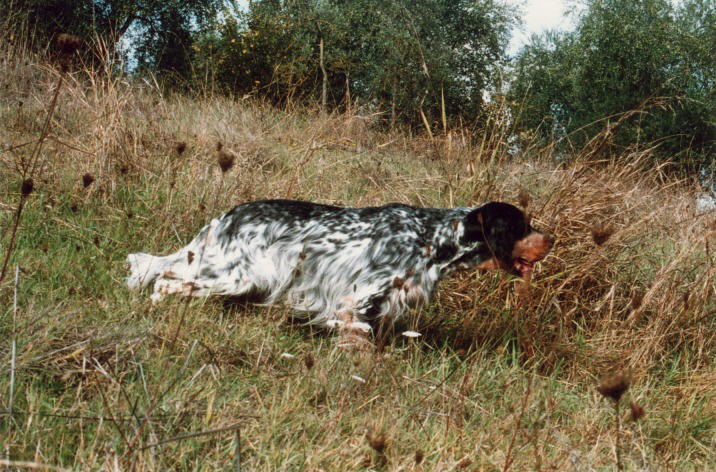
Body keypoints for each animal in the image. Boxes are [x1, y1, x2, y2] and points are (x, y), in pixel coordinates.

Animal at [127, 201, 552, 334]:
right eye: (524, 225)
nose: (551, 240)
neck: (433, 238)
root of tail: (226, 215)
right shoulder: (356, 295)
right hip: (233, 276)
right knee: (165, 281)